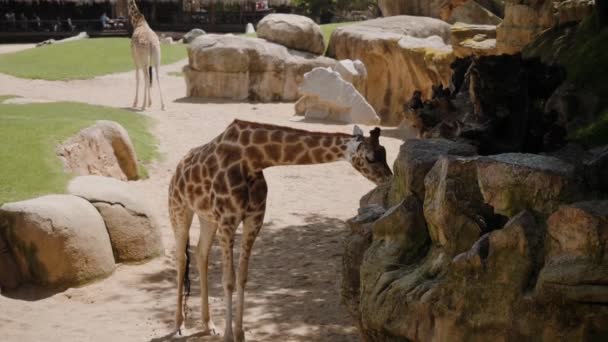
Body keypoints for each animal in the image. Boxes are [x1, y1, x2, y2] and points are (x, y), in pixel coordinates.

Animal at [169, 119, 392, 340]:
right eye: (371, 158)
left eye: (385, 152)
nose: (388, 179)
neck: (253, 159)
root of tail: (178, 168)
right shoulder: (228, 221)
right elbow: (228, 280)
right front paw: (228, 336)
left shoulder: (254, 219)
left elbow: (242, 276)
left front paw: (240, 334)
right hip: (179, 208)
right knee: (181, 257)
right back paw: (179, 325)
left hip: (207, 217)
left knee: (200, 253)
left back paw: (209, 324)